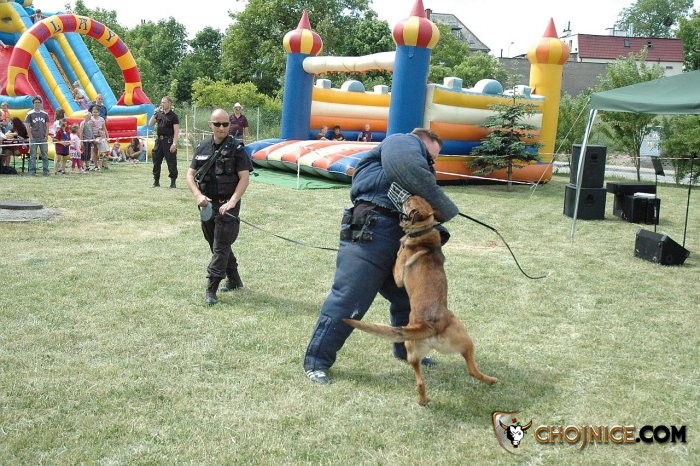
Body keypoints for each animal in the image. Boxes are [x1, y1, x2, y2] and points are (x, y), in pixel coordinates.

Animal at [344, 195, 496, 405]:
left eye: (409, 203)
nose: (407, 195)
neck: (423, 231)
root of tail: (430, 326)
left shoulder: (399, 275)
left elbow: (397, 261)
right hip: (450, 346)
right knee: (452, 375)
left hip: (447, 343)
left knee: (441, 377)